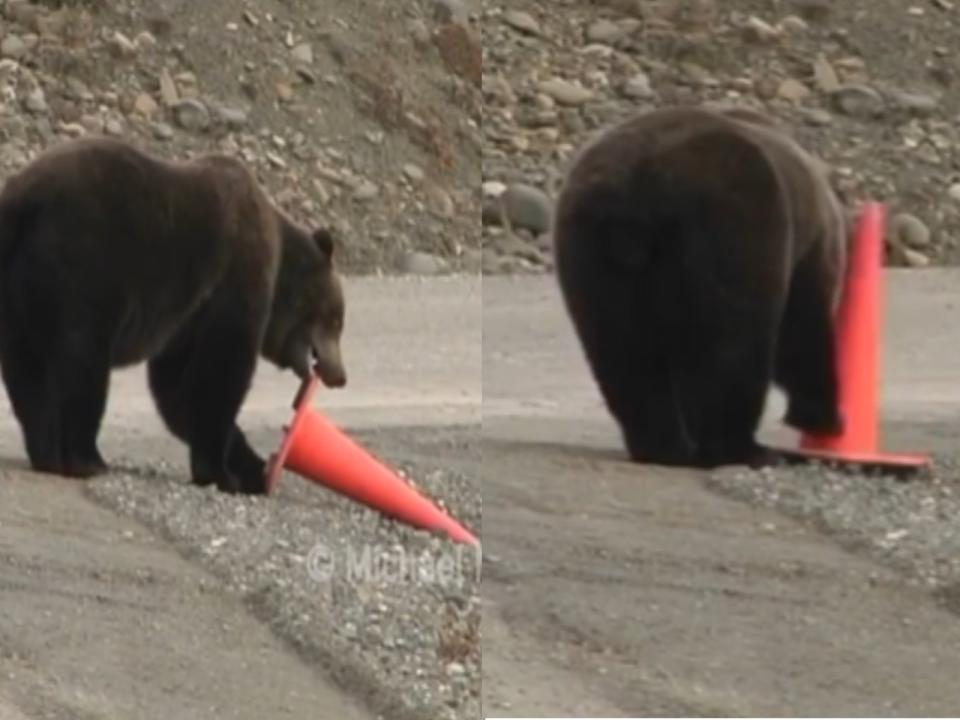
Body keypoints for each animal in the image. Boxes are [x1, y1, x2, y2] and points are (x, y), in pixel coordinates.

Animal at [0, 136, 348, 496]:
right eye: (337, 320)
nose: (340, 375)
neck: (279, 268)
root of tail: (22, 199)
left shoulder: (187, 319)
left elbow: (178, 389)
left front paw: (253, 469)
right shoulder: (233, 278)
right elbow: (221, 369)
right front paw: (223, 474)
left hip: (19, 289)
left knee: (29, 373)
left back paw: (46, 453)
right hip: (83, 268)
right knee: (83, 363)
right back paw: (86, 458)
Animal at [556, 104, 848, 470]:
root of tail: (636, 194)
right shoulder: (807, 250)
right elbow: (802, 330)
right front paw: (824, 417)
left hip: (592, 250)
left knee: (623, 350)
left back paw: (664, 447)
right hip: (732, 224)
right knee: (735, 343)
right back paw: (743, 448)